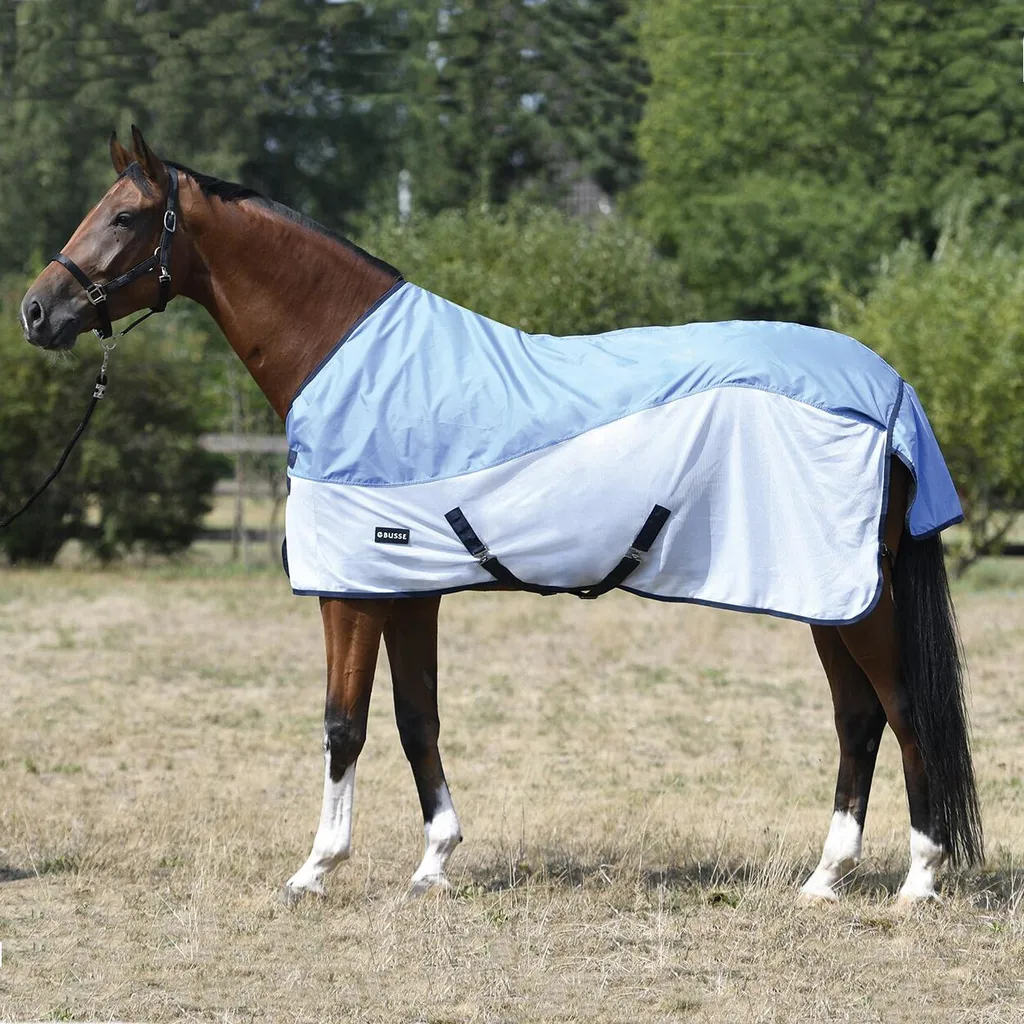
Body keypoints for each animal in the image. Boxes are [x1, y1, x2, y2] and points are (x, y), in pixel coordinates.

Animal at [19, 127, 982, 903]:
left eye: (125, 217)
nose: (36, 310)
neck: (355, 365)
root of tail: (892, 392)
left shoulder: (352, 590)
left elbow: (343, 722)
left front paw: (315, 869)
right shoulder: (405, 586)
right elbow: (417, 719)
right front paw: (433, 864)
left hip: (857, 599)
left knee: (904, 712)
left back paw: (919, 881)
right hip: (827, 594)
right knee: (857, 720)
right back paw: (826, 878)